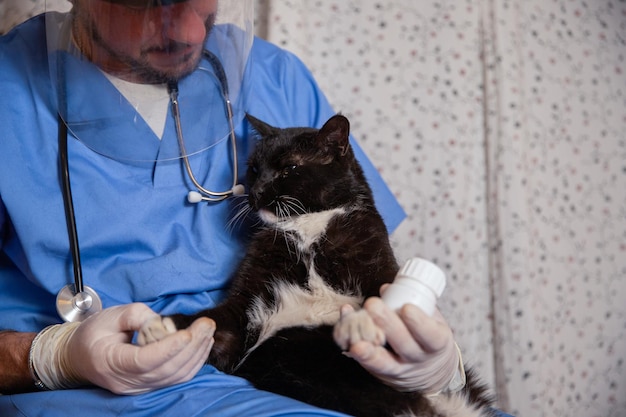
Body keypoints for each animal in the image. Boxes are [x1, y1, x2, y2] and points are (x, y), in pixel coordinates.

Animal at [140, 114, 492, 416]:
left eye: (289, 168)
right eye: (253, 169)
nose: (256, 191)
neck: (308, 228)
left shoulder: (375, 255)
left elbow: (385, 289)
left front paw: (365, 324)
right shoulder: (243, 311)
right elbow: (211, 320)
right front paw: (162, 327)